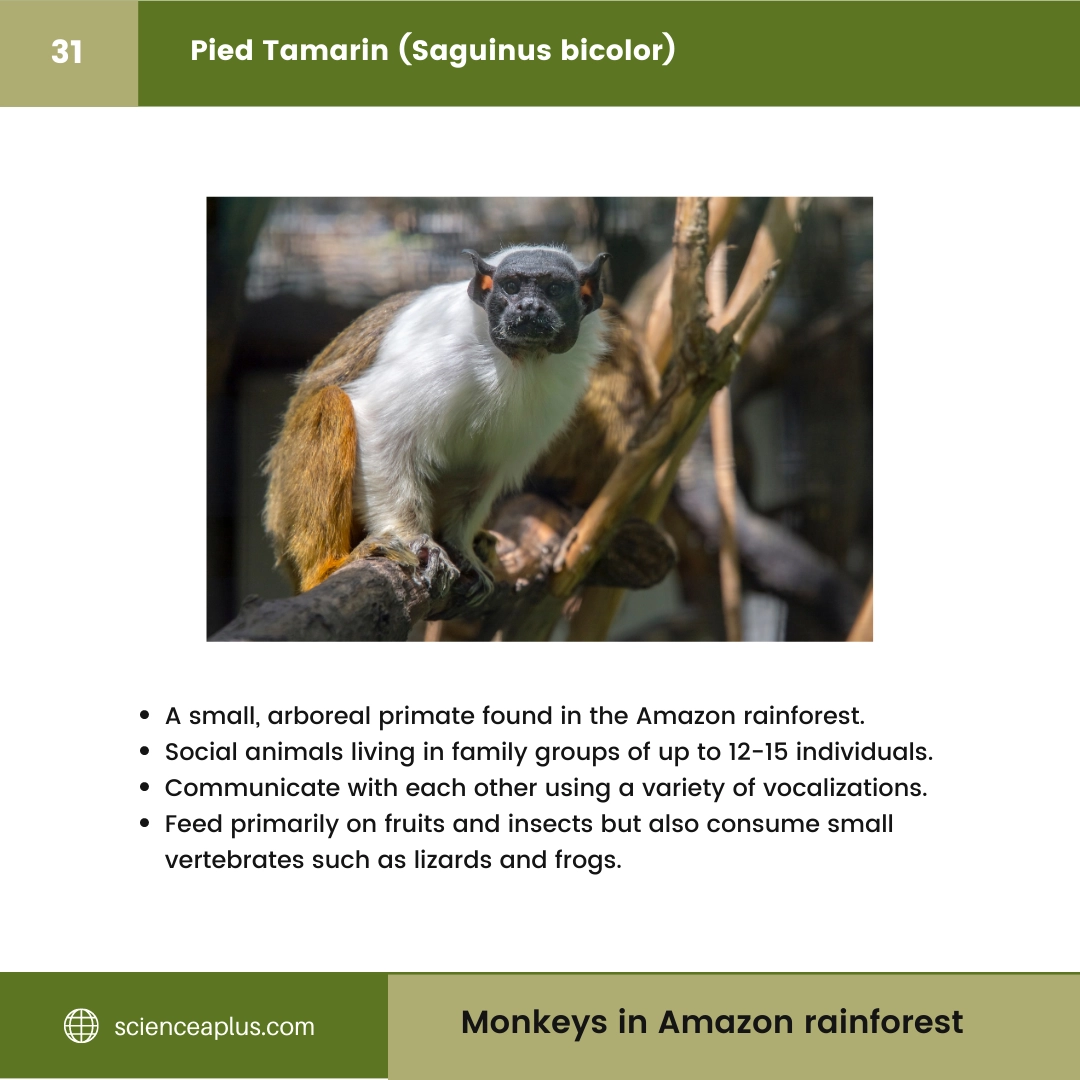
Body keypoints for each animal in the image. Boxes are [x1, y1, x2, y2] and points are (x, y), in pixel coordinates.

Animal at [263, 245, 610, 597]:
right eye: (511, 287)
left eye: (554, 290)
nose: (528, 306)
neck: (518, 361)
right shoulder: (442, 357)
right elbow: (382, 430)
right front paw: (417, 540)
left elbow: (481, 471)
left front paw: (460, 545)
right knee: (332, 404)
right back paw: (325, 569)